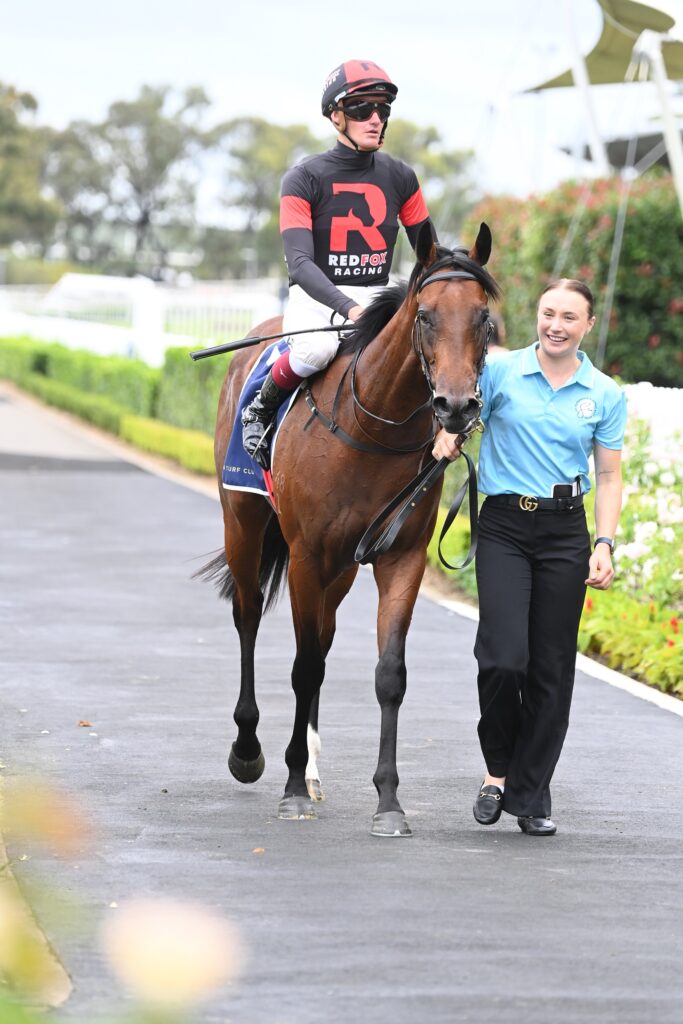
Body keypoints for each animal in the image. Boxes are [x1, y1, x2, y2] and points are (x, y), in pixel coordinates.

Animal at [198, 222, 499, 837]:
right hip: (243, 522)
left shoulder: (399, 557)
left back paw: (313, 770)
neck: (372, 429)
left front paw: (388, 801)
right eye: (425, 314)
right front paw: (288, 786)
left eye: (483, 317)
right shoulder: (306, 555)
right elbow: (302, 665)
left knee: (323, 635)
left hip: (338, 570)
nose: (456, 406)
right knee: (248, 616)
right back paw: (250, 750)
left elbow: (387, 674)